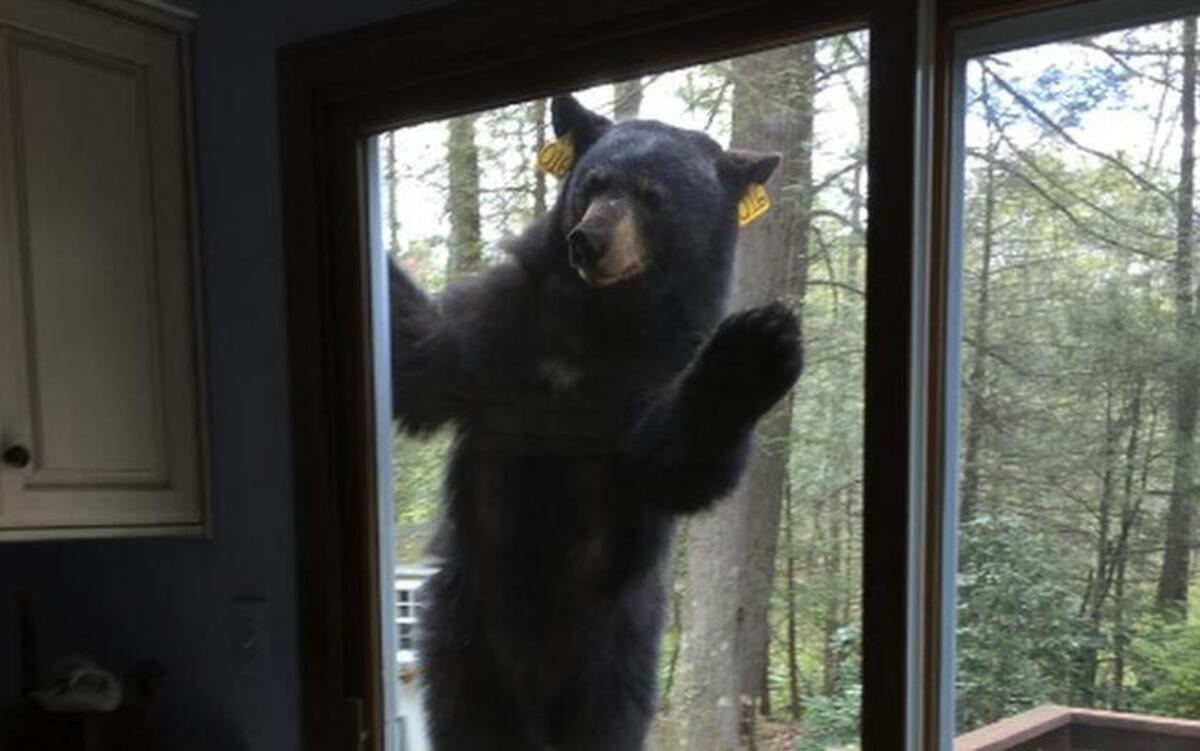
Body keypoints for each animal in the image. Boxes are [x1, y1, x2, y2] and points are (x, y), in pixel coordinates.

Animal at [389, 94, 802, 751]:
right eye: (593, 183)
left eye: (653, 195)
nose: (589, 240)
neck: (597, 324)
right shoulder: (501, 329)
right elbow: (425, 358)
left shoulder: (655, 370)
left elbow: (674, 463)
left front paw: (753, 348)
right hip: (461, 636)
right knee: (467, 717)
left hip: (614, 655)